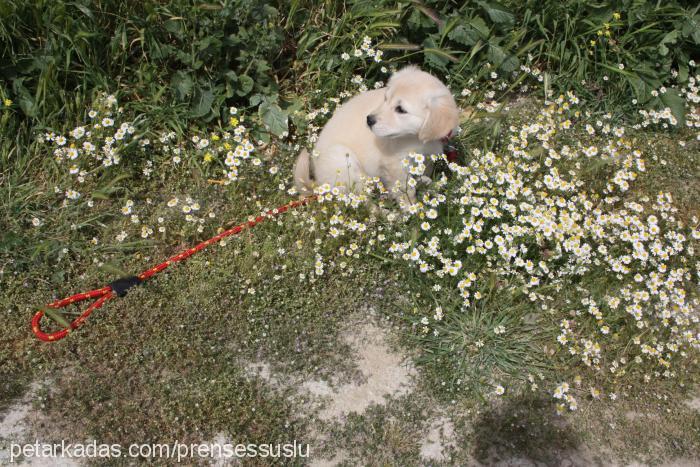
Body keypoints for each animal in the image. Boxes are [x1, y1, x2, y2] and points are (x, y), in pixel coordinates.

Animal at [294, 65, 460, 204]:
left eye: (401, 110)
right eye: (386, 99)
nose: (369, 120)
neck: (416, 138)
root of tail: (319, 184)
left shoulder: (428, 156)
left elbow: (423, 171)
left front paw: (425, 183)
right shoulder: (395, 164)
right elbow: (406, 190)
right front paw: (411, 209)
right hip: (344, 161)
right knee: (363, 202)